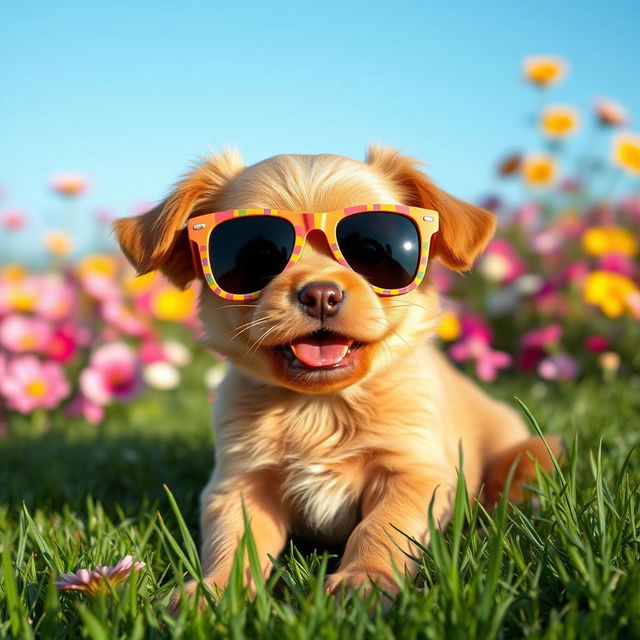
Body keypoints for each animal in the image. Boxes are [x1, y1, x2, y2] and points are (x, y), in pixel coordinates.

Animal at [115, 148, 560, 604]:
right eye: (256, 255)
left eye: (372, 251)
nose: (320, 294)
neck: (320, 406)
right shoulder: (239, 483)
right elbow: (235, 541)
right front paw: (217, 592)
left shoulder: (414, 472)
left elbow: (381, 528)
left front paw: (364, 580)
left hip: (529, 454)